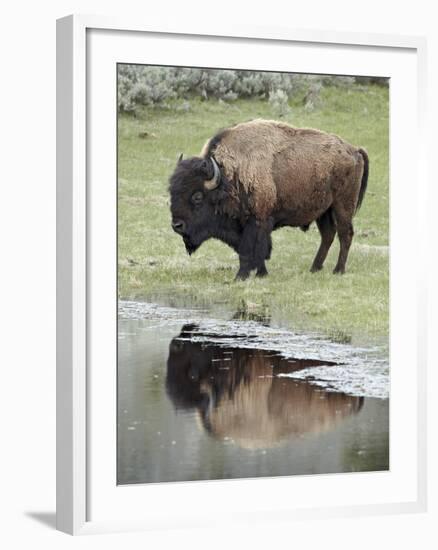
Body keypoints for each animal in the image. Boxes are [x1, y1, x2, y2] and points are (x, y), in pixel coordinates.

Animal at [169, 117, 368, 280]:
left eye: (197, 196)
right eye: (172, 192)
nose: (177, 225)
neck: (227, 178)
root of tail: (354, 150)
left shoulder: (257, 220)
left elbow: (250, 250)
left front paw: (240, 277)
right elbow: (259, 250)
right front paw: (261, 273)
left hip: (342, 205)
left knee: (345, 234)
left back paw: (338, 270)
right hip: (323, 211)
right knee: (328, 235)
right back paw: (314, 268)